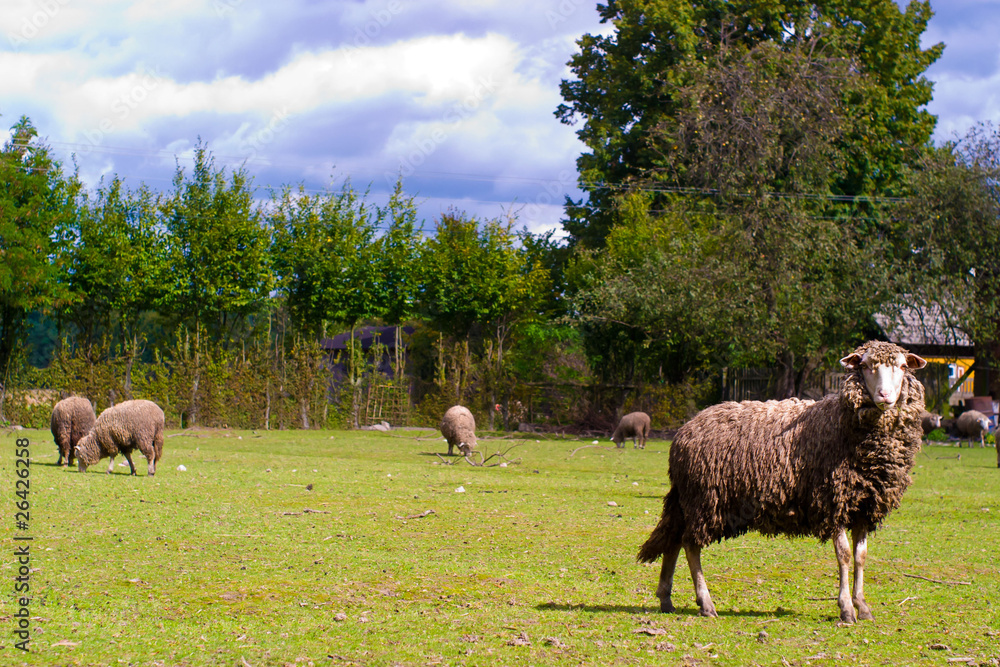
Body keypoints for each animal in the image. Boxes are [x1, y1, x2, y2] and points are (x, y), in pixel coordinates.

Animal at [637, 340, 927, 624]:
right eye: (865, 366)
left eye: (903, 366)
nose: (885, 396)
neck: (842, 424)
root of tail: (684, 431)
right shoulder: (832, 500)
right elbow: (844, 555)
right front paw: (846, 608)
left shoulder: (863, 506)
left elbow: (861, 557)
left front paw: (863, 606)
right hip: (705, 499)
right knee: (690, 544)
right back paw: (705, 603)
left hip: (690, 499)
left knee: (674, 539)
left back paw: (666, 599)